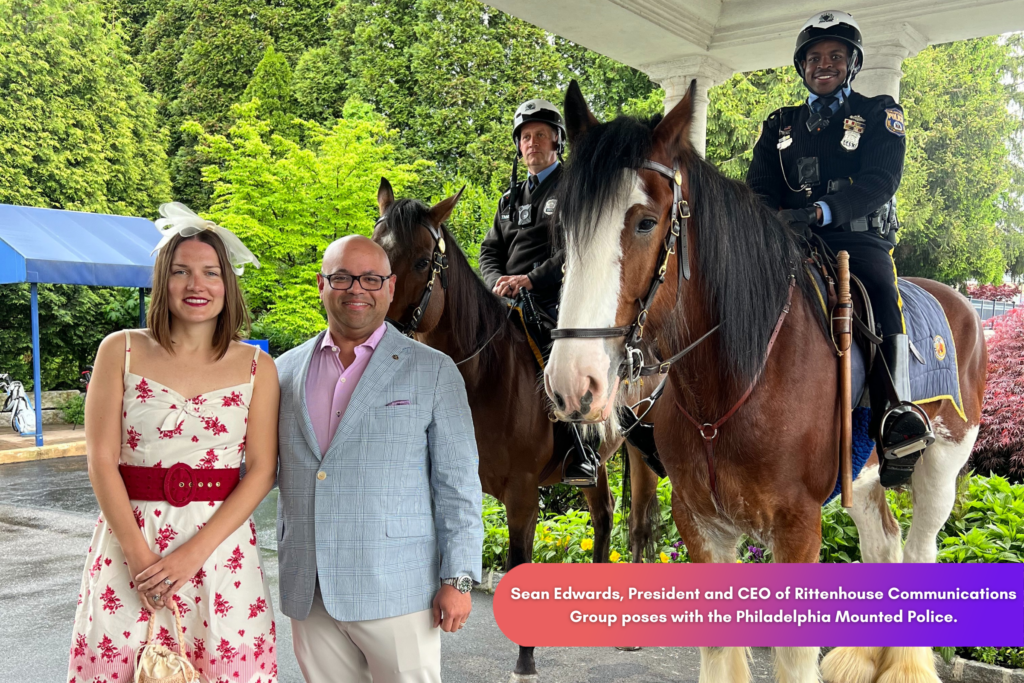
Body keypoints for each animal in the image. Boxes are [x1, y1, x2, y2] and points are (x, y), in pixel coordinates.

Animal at [372, 179, 659, 679]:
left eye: (423, 261)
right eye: (374, 244)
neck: (484, 375)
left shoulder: (523, 494)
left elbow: (518, 562)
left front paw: (524, 661)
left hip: (642, 454)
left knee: (638, 524)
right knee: (604, 515)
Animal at [548, 81, 987, 683]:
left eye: (645, 222)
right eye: (562, 226)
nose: (573, 383)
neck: (734, 380)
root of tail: (960, 301)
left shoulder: (797, 526)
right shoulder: (700, 522)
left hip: (941, 464)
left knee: (921, 551)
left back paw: (904, 667)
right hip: (863, 476)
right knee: (884, 543)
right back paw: (864, 659)